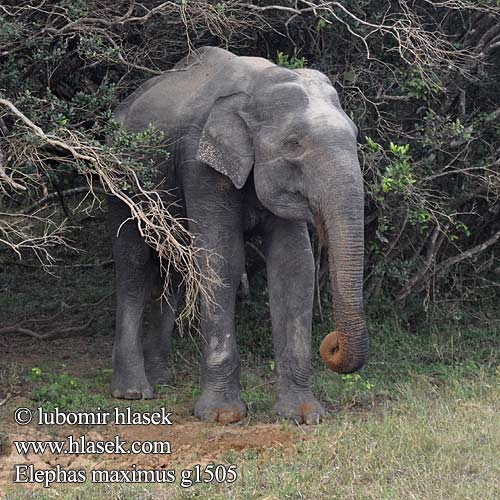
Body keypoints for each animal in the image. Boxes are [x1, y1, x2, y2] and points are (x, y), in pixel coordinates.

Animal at [108, 47, 368, 424]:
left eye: (355, 135)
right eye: (293, 145)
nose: (331, 342)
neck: (257, 85)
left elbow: (294, 267)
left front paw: (303, 416)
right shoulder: (200, 164)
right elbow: (220, 258)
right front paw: (222, 416)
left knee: (174, 271)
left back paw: (161, 380)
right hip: (120, 180)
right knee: (132, 264)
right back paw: (132, 392)